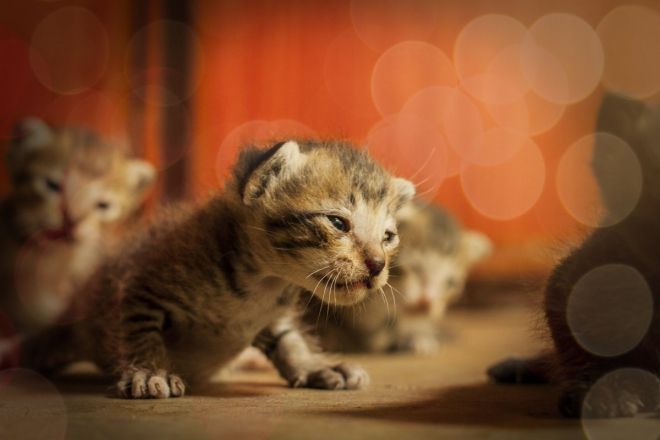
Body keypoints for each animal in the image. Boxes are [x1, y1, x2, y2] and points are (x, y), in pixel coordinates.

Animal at [18, 139, 416, 398]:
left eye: (388, 236)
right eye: (337, 222)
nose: (378, 265)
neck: (262, 283)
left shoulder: (272, 316)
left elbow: (290, 341)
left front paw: (316, 366)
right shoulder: (139, 283)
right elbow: (139, 331)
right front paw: (147, 371)